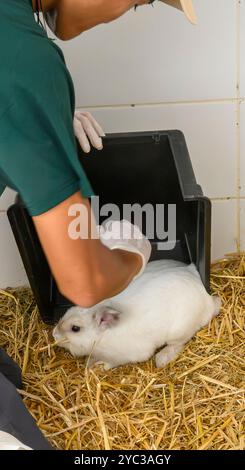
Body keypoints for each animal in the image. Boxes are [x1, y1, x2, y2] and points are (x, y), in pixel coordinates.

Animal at [53, 258, 220, 370]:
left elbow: (111, 362)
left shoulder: (126, 355)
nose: (54, 334)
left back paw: (161, 359)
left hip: (178, 331)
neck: (103, 337)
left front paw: (98, 366)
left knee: (177, 344)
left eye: (75, 328)